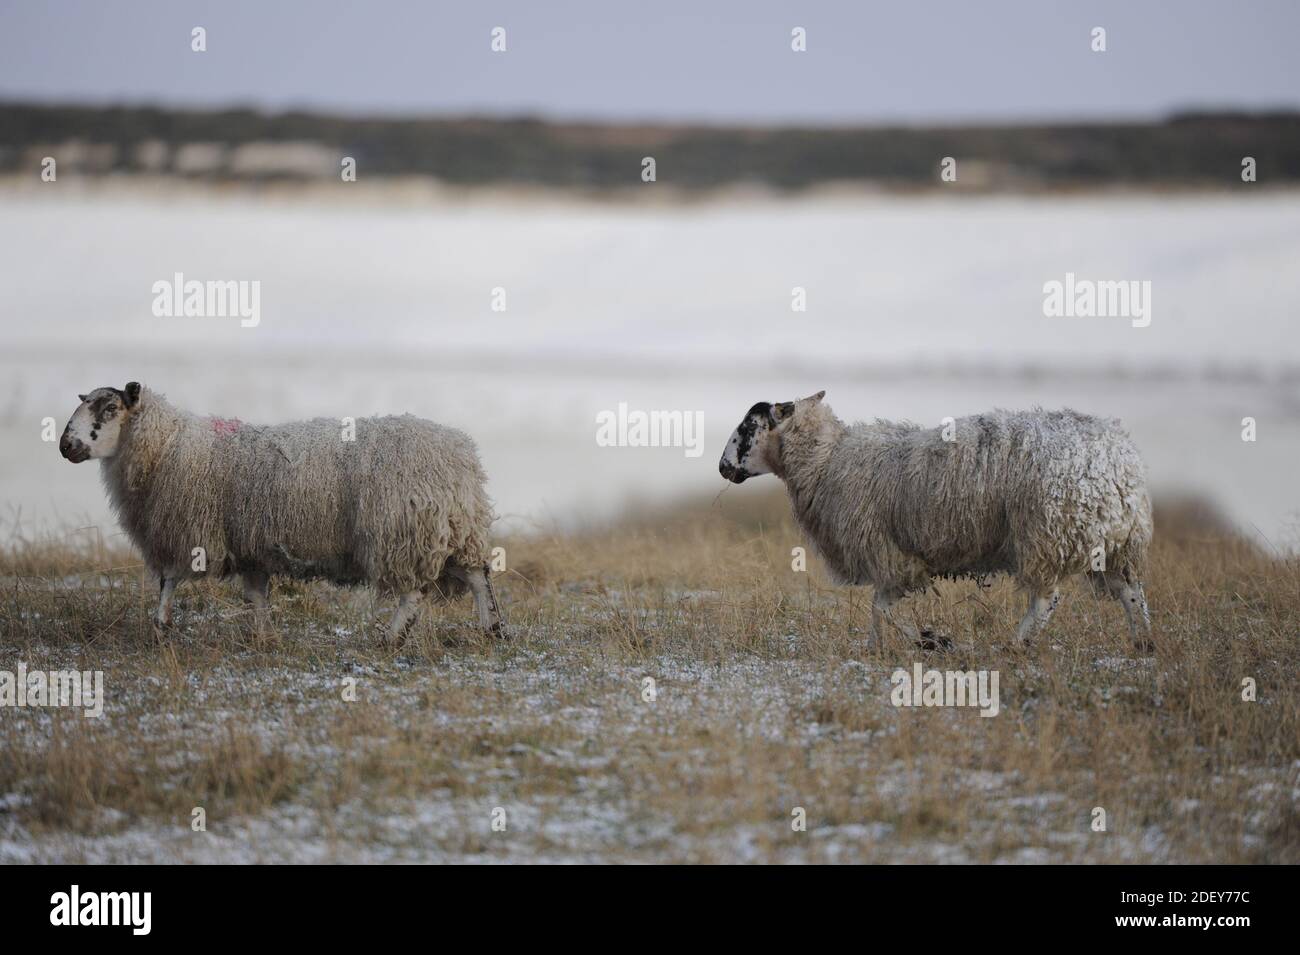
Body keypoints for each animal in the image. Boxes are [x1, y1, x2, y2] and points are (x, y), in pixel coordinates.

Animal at [59, 382, 501, 641]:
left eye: (110, 408)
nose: (66, 445)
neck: (167, 446)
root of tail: (461, 454)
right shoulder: (250, 545)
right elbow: (256, 595)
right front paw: (263, 635)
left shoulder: (190, 533)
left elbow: (169, 581)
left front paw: (160, 625)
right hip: (456, 530)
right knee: (478, 577)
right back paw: (493, 629)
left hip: (402, 532)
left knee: (412, 593)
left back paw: (390, 639)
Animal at [722, 392, 1159, 654]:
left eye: (747, 427)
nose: (723, 468)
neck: (826, 460)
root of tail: (1121, 458)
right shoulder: (894, 557)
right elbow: (878, 611)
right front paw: (880, 647)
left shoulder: (890, 554)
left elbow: (882, 608)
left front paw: (929, 641)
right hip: (1114, 542)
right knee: (1131, 592)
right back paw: (1144, 642)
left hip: (1048, 533)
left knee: (1046, 599)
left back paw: (1015, 645)